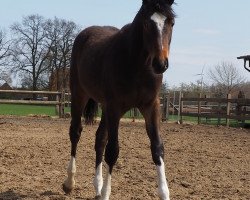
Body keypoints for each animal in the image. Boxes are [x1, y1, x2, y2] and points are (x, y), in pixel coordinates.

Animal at [62, 0, 176, 199]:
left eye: (171, 23)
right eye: (147, 23)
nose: (160, 64)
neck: (137, 64)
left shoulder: (151, 106)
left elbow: (157, 148)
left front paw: (164, 193)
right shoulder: (115, 107)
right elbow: (113, 151)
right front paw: (106, 193)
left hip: (105, 107)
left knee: (99, 139)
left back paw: (98, 186)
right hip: (79, 95)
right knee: (75, 132)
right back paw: (70, 182)